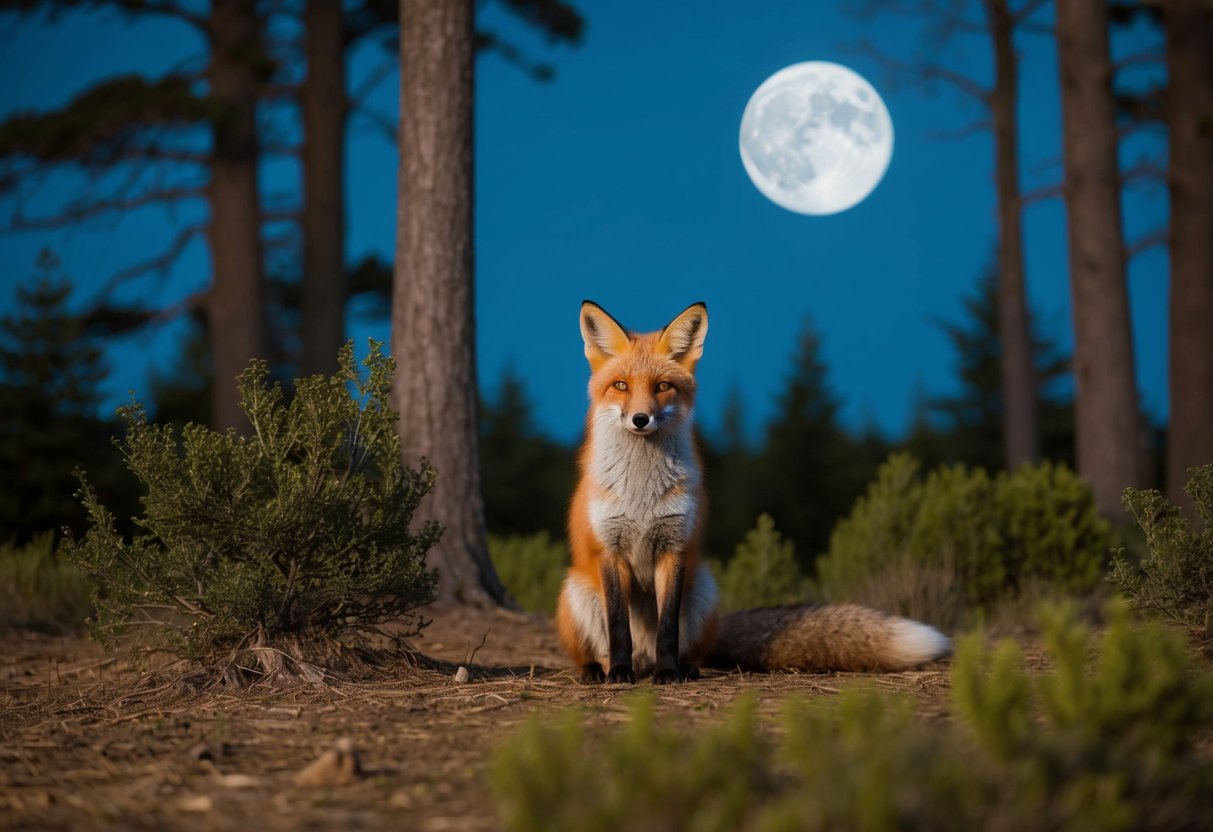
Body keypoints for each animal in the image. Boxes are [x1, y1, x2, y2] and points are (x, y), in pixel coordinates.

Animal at [555, 300, 951, 684]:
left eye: (662, 386)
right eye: (621, 386)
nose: (641, 419)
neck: (642, 494)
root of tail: (643, 658)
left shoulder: (675, 546)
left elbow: (668, 628)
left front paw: (668, 674)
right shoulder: (609, 548)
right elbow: (618, 626)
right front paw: (619, 675)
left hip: (702, 590)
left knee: (687, 650)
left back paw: (680, 668)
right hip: (577, 592)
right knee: (599, 650)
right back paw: (600, 669)